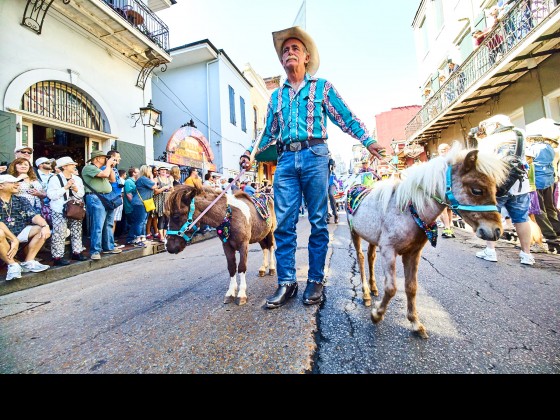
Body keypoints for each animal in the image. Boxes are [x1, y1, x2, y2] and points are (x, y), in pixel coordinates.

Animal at [348, 146, 510, 340]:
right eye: (477, 190)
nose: (497, 231)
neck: (410, 211)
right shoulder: (388, 251)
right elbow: (392, 288)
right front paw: (377, 314)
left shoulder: (413, 253)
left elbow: (411, 287)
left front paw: (415, 323)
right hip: (354, 233)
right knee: (360, 258)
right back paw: (365, 294)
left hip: (372, 239)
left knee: (371, 257)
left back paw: (373, 288)